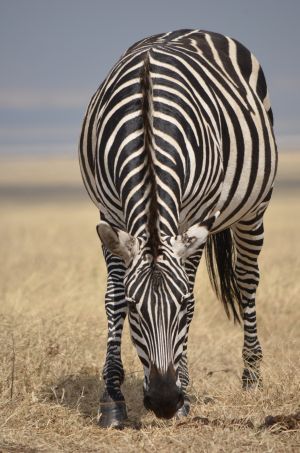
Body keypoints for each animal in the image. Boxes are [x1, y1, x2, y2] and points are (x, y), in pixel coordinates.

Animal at [78, 29, 278, 428]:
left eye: (183, 307)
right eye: (135, 308)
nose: (166, 401)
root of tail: (196, 29)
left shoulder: (193, 216)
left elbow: (192, 287)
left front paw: (185, 391)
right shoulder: (110, 214)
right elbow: (111, 299)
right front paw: (112, 399)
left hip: (255, 207)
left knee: (247, 280)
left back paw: (251, 377)